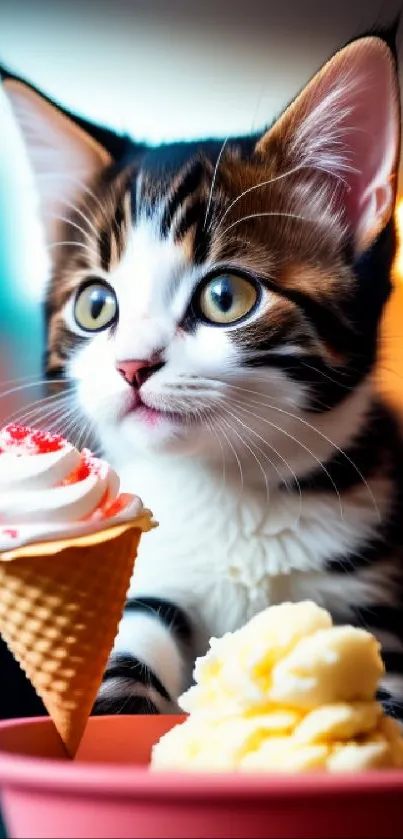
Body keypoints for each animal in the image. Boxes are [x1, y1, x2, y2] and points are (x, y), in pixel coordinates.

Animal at [1, 27, 402, 720]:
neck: (233, 494)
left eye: (225, 297)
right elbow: (125, 659)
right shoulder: (149, 579)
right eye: (95, 305)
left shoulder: (374, 591)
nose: (132, 364)